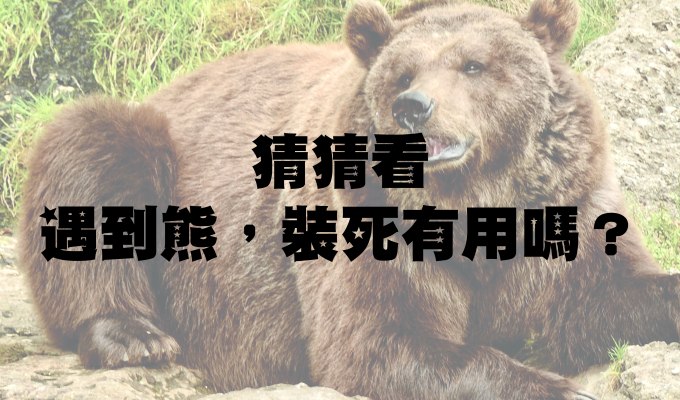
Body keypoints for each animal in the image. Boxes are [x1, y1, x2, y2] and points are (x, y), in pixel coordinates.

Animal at [18, 0, 680, 399]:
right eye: (402, 74)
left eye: (474, 65)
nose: (414, 106)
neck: (474, 200)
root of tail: (172, 86)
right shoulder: (367, 220)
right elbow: (374, 342)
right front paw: (557, 385)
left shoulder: (565, 205)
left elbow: (598, 295)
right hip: (161, 157)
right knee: (90, 148)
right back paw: (135, 335)